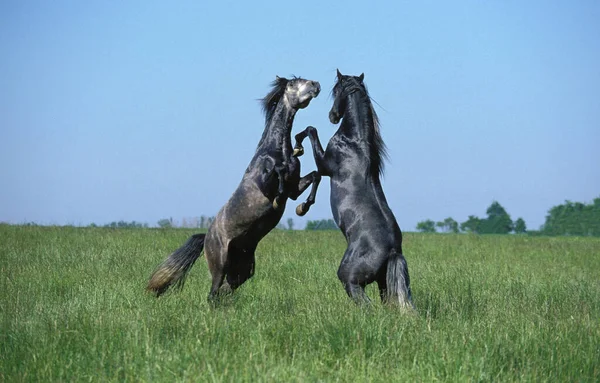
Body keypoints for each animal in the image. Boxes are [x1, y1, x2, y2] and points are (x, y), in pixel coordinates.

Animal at [148, 76, 322, 302]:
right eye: (294, 83)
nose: (316, 84)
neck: (277, 150)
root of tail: (207, 238)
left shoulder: (293, 190)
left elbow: (315, 175)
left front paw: (303, 207)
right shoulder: (266, 184)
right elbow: (278, 174)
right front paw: (279, 199)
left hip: (243, 269)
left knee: (223, 291)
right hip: (220, 265)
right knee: (212, 294)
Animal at [294, 70, 412, 308]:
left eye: (335, 91)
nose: (332, 115)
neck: (354, 142)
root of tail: (392, 251)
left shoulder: (326, 166)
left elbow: (312, 134)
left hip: (350, 279)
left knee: (367, 305)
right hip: (384, 284)